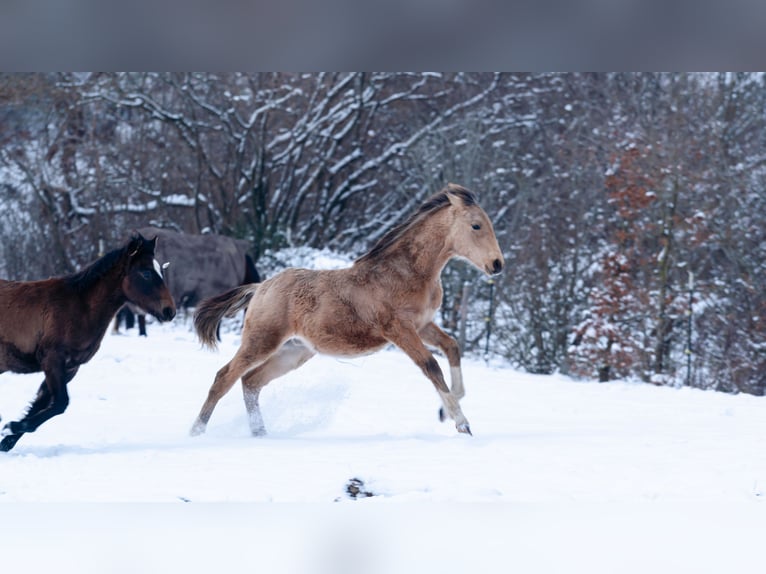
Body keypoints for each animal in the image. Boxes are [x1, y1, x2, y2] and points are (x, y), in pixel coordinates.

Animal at [0, 233, 176, 452]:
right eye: (145, 273)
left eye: (160, 270)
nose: (170, 311)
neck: (79, 308)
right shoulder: (52, 360)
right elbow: (60, 403)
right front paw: (11, 427)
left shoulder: (70, 367)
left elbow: (41, 405)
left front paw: (8, 437)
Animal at [189, 183, 504, 438]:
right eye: (476, 226)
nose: (497, 264)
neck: (407, 273)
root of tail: (260, 287)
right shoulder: (398, 330)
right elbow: (431, 366)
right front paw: (461, 423)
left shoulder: (424, 325)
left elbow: (452, 347)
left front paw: (444, 411)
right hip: (262, 341)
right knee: (224, 377)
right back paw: (196, 432)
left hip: (293, 352)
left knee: (251, 382)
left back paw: (260, 433)